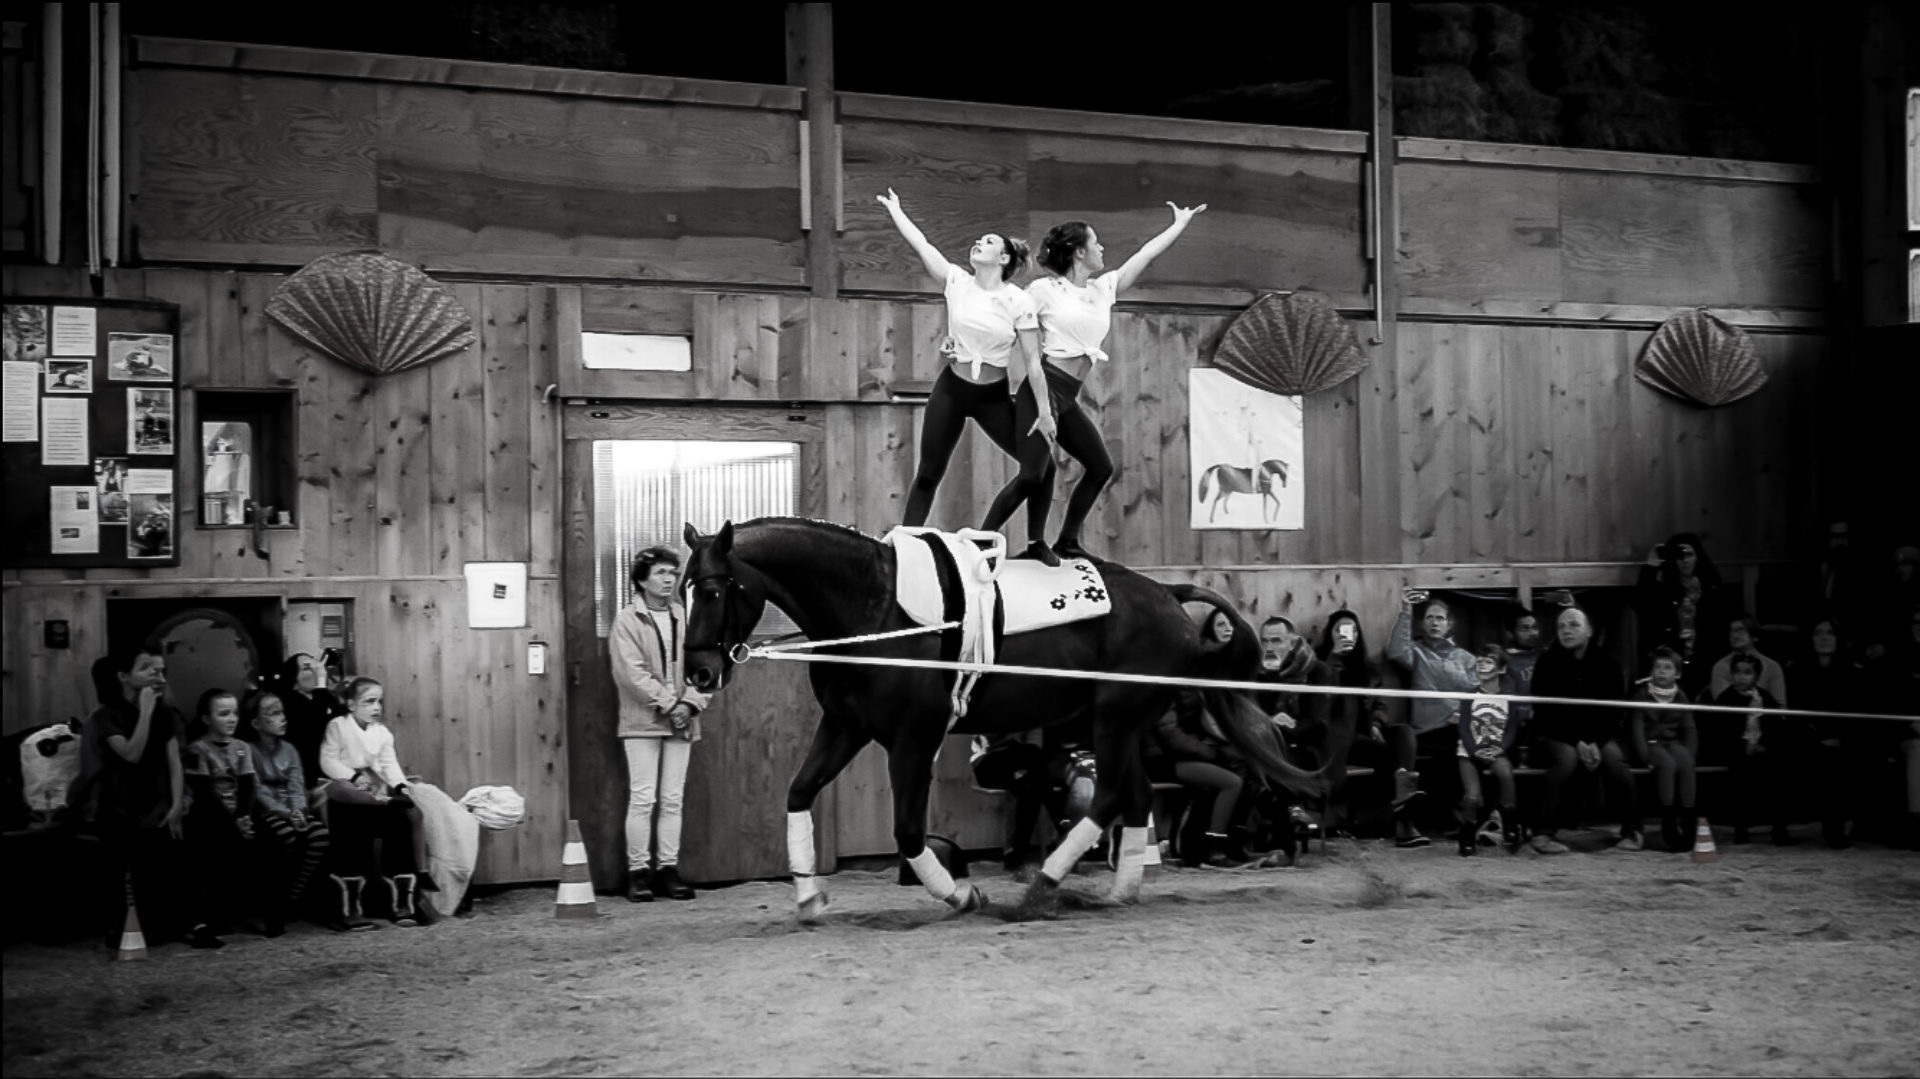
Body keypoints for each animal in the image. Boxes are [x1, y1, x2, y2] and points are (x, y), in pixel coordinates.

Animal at [680, 516, 1326, 921]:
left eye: (713, 590)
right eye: (682, 588)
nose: (700, 674)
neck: (875, 608)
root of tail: (1170, 593)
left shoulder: (912, 739)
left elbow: (908, 831)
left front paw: (961, 897)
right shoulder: (847, 727)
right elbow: (798, 792)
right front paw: (810, 900)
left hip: (1115, 718)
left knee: (1112, 795)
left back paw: (1042, 886)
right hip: (1121, 724)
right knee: (1135, 796)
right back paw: (1117, 893)